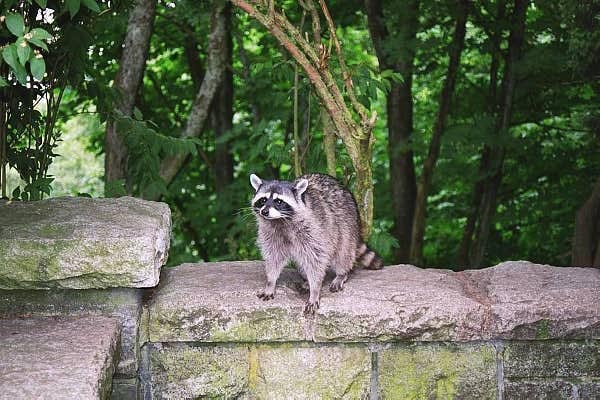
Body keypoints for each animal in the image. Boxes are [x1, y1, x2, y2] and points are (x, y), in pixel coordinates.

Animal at [250, 173, 384, 314]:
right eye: (263, 200)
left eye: (279, 201)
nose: (264, 211)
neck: (280, 220)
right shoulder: (271, 234)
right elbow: (274, 258)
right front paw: (270, 282)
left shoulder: (314, 230)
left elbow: (315, 260)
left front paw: (315, 290)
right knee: (302, 264)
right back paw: (305, 280)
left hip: (347, 225)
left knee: (343, 253)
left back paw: (342, 273)